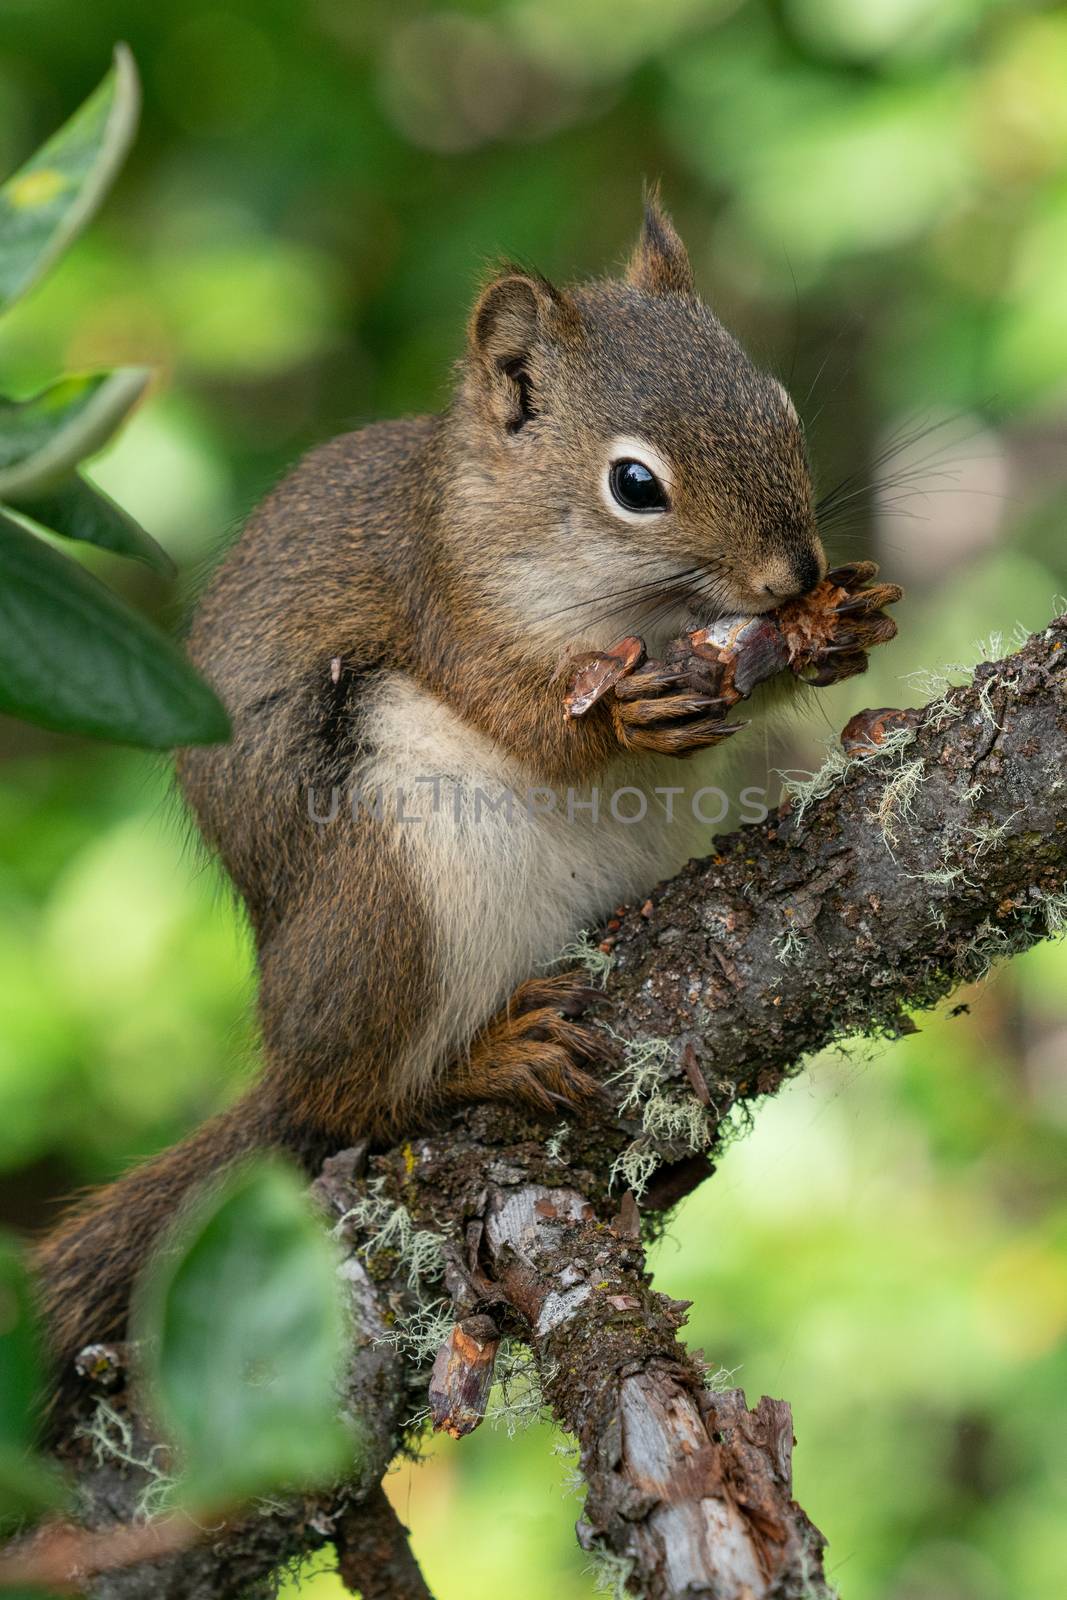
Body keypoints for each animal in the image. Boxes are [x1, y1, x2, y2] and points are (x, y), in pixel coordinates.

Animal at [37, 196, 883, 1388]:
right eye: (635, 485)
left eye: (781, 410)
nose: (792, 575)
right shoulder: (446, 612)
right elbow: (530, 724)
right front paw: (623, 719)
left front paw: (842, 623)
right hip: (388, 894)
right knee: (354, 1096)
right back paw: (485, 1057)